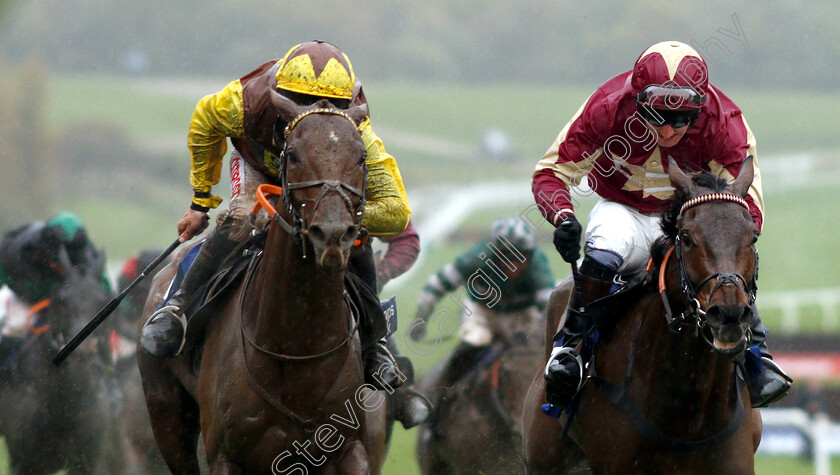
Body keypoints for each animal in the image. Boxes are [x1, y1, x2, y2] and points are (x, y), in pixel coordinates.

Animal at [139, 98, 382, 474]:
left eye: (360, 156)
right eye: (293, 154)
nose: (332, 235)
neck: (294, 346)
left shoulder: (349, 449)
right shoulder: (225, 456)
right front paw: (197, 212)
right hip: (165, 413)